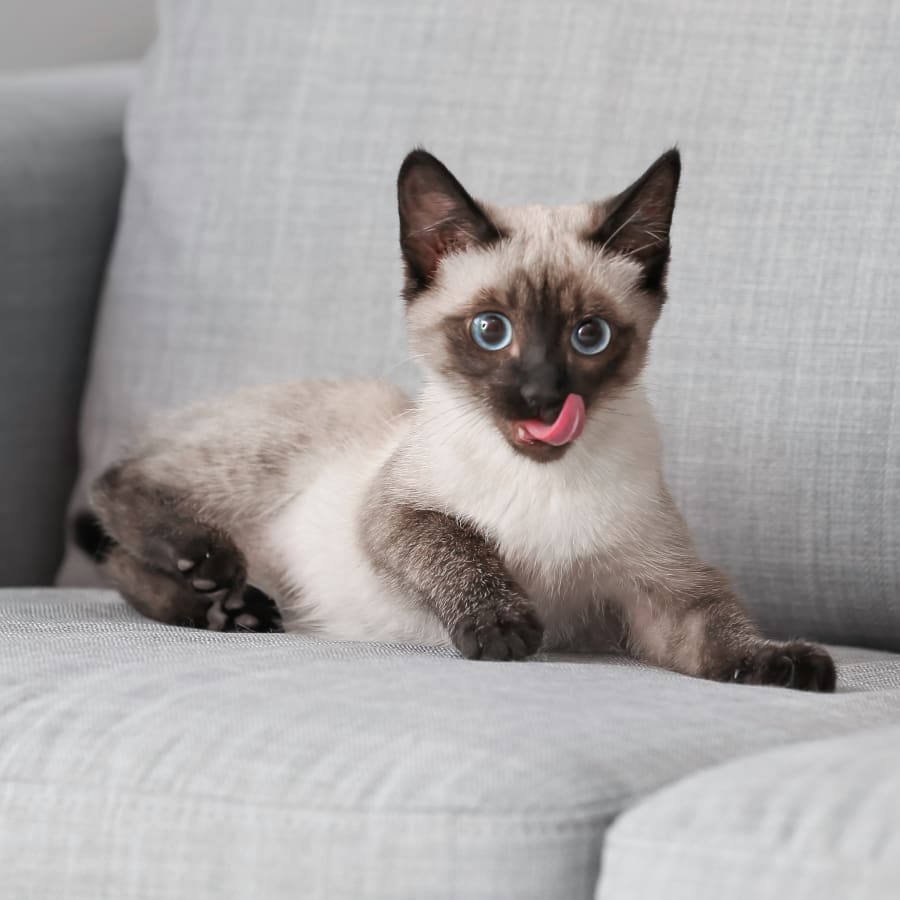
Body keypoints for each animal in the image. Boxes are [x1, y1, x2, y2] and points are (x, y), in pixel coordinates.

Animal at [75, 151, 836, 692]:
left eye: (588, 337)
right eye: (491, 331)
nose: (542, 398)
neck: (544, 478)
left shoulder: (659, 588)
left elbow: (721, 630)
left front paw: (783, 662)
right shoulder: (394, 514)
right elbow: (461, 544)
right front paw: (501, 627)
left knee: (117, 558)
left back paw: (223, 608)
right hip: (262, 458)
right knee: (118, 486)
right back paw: (208, 568)